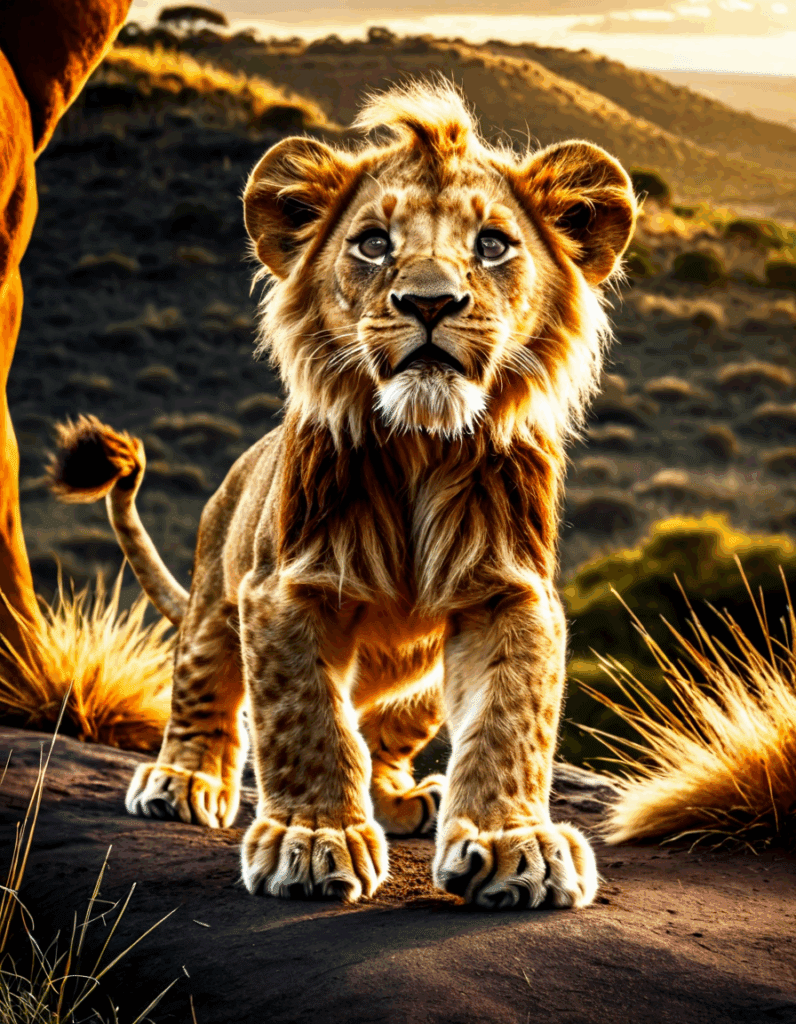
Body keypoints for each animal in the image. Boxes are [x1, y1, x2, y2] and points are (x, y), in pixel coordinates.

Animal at [49, 80, 636, 908]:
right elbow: (305, 719)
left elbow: (510, 719)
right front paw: (311, 839)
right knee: (204, 689)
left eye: (492, 244)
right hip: (214, 599)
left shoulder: (510, 592)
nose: (430, 302)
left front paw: (512, 844)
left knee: (383, 734)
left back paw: (404, 800)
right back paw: (181, 781)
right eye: (373, 244)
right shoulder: (284, 590)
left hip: (417, 684)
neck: (422, 443)